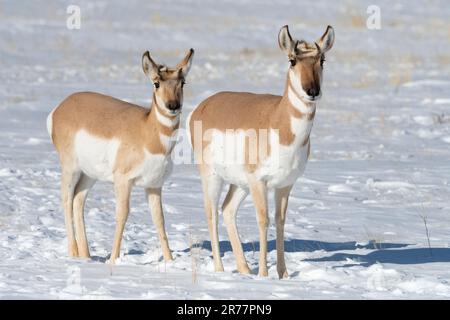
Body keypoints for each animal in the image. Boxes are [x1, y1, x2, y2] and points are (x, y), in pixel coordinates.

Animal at [48, 48, 195, 262]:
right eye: (156, 83)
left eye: (182, 82)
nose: (173, 105)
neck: (147, 133)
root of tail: (60, 107)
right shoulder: (123, 181)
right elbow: (122, 214)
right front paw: (114, 259)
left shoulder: (154, 185)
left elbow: (159, 219)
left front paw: (170, 260)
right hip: (71, 168)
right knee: (66, 199)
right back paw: (74, 253)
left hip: (89, 174)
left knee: (78, 200)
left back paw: (86, 256)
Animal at [187, 25, 334, 278]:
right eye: (292, 60)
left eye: (322, 60)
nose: (312, 90)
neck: (279, 122)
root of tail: (203, 106)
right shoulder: (259, 182)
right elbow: (264, 220)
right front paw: (264, 274)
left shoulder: (285, 185)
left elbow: (280, 220)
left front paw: (283, 275)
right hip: (213, 176)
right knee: (211, 212)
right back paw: (220, 269)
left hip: (240, 183)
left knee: (227, 210)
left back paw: (244, 268)